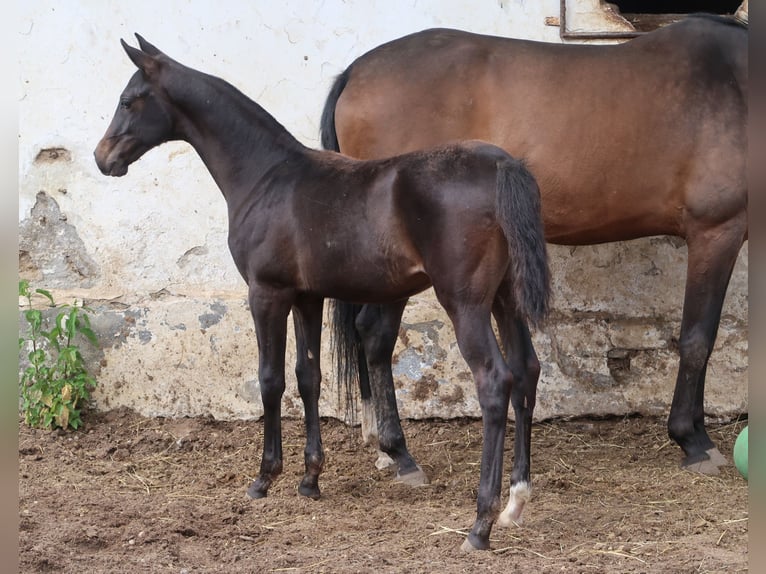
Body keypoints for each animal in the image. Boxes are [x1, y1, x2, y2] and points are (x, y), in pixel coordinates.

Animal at [94, 36, 552, 552]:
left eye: (128, 100)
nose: (102, 158)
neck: (268, 175)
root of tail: (502, 165)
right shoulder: (306, 297)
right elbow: (308, 377)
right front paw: (310, 479)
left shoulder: (266, 294)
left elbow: (271, 379)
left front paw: (264, 478)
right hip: (506, 299)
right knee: (526, 370)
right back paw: (516, 502)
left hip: (465, 303)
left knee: (495, 382)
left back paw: (479, 525)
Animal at [320, 13, 748, 482]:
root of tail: (356, 71)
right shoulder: (716, 231)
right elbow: (698, 338)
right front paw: (693, 439)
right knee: (376, 334)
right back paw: (398, 452)